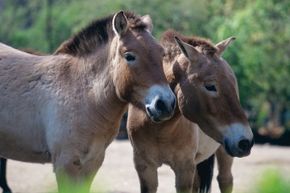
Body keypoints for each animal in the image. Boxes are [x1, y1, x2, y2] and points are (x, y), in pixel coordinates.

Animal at [0, 11, 176, 192]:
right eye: (129, 56)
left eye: (161, 53)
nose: (165, 104)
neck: (82, 94)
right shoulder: (65, 165)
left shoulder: (91, 163)